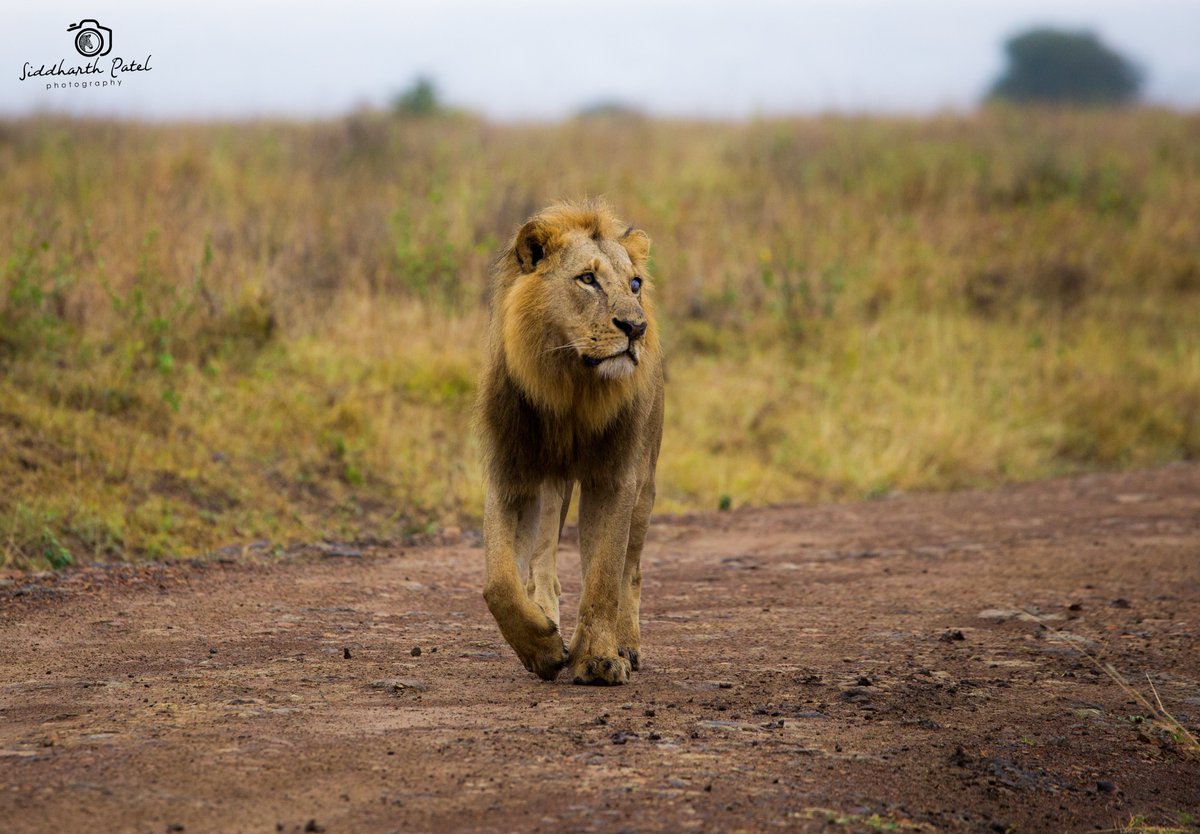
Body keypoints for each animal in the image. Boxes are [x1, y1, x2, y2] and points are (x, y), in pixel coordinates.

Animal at [475, 200, 664, 685]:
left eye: (635, 284)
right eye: (587, 279)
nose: (636, 328)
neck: (571, 389)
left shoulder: (615, 478)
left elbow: (604, 576)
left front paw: (598, 659)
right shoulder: (513, 475)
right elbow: (499, 582)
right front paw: (543, 648)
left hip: (646, 482)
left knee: (631, 571)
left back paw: (627, 644)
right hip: (550, 486)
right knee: (543, 566)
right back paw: (549, 618)